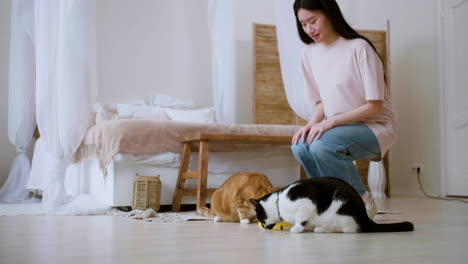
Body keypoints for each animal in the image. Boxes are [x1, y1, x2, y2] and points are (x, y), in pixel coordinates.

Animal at [249, 176, 414, 232]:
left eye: (260, 218)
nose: (264, 226)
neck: (279, 203)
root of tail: (365, 217)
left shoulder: (308, 201)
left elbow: (300, 217)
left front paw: (297, 228)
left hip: (340, 208)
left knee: (349, 229)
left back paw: (321, 229)